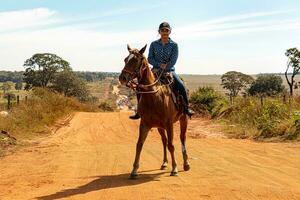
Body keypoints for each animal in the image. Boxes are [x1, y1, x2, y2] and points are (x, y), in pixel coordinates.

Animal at [118, 44, 190, 178]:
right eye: (125, 59)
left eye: (136, 60)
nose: (122, 78)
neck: (154, 96)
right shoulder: (145, 124)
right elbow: (139, 144)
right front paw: (134, 170)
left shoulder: (169, 124)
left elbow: (171, 145)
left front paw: (175, 168)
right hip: (159, 127)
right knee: (164, 141)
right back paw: (164, 162)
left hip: (183, 119)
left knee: (182, 138)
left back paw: (186, 163)